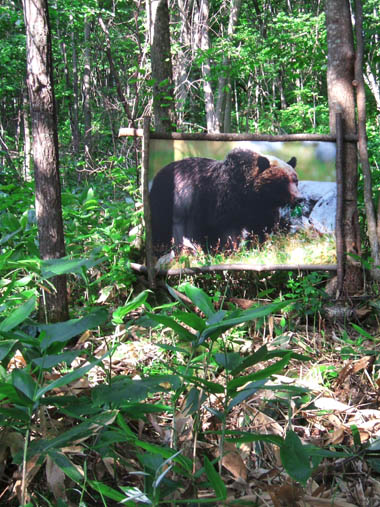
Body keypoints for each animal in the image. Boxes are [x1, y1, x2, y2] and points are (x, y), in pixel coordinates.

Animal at [148, 148, 300, 256]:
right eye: (283, 181)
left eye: (295, 179)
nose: (299, 198)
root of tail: (158, 174)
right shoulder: (224, 205)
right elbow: (228, 234)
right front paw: (230, 252)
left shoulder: (261, 211)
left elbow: (262, 230)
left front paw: (256, 247)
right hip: (169, 203)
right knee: (162, 229)